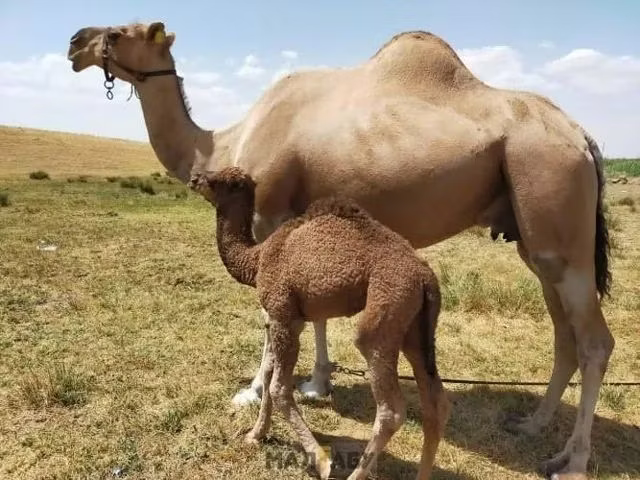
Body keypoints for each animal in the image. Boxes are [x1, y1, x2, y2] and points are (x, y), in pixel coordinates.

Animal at [190, 166, 449, 480]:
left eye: (222, 181)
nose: (194, 178)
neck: (258, 258)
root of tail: (426, 278)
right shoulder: (280, 319)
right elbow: (269, 374)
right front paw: (255, 435)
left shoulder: (283, 315)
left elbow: (278, 388)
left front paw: (323, 463)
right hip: (417, 327)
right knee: (435, 402)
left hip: (387, 306)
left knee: (391, 408)